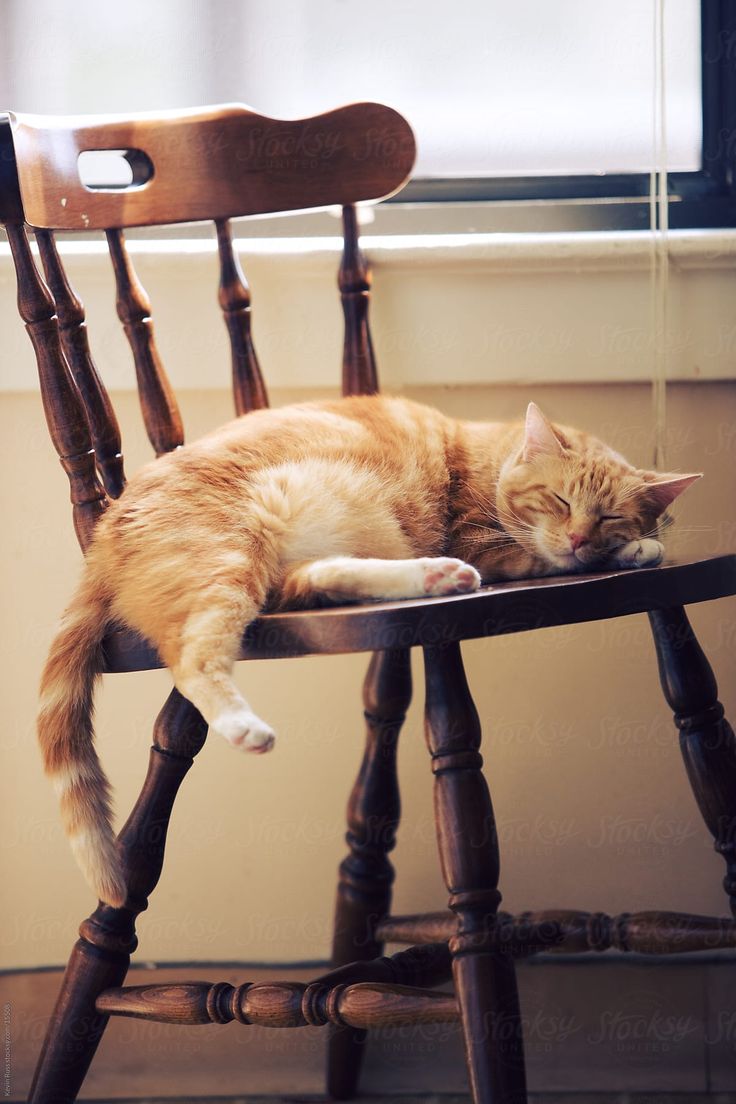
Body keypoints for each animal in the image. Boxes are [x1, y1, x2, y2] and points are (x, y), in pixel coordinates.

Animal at [37, 399, 701, 905]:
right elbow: (545, 557)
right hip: (231, 552)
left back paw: (434, 576)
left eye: (608, 515)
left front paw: (632, 544)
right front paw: (638, 550)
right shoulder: (489, 545)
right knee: (195, 656)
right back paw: (244, 724)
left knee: (317, 577)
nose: (581, 537)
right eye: (561, 502)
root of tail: (103, 532)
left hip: (279, 565)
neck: (494, 456)